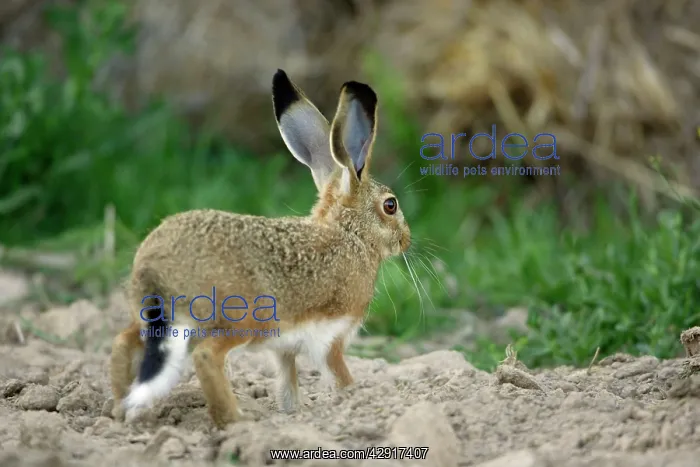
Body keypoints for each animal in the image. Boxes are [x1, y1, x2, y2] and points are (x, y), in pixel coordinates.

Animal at [109, 69, 411, 429]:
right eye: (390, 206)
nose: (406, 239)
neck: (350, 234)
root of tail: (155, 267)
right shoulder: (331, 338)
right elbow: (339, 375)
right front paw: (354, 401)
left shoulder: (284, 349)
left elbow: (288, 384)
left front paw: (292, 414)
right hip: (241, 318)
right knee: (206, 356)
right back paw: (236, 420)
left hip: (152, 318)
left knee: (123, 343)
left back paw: (120, 410)